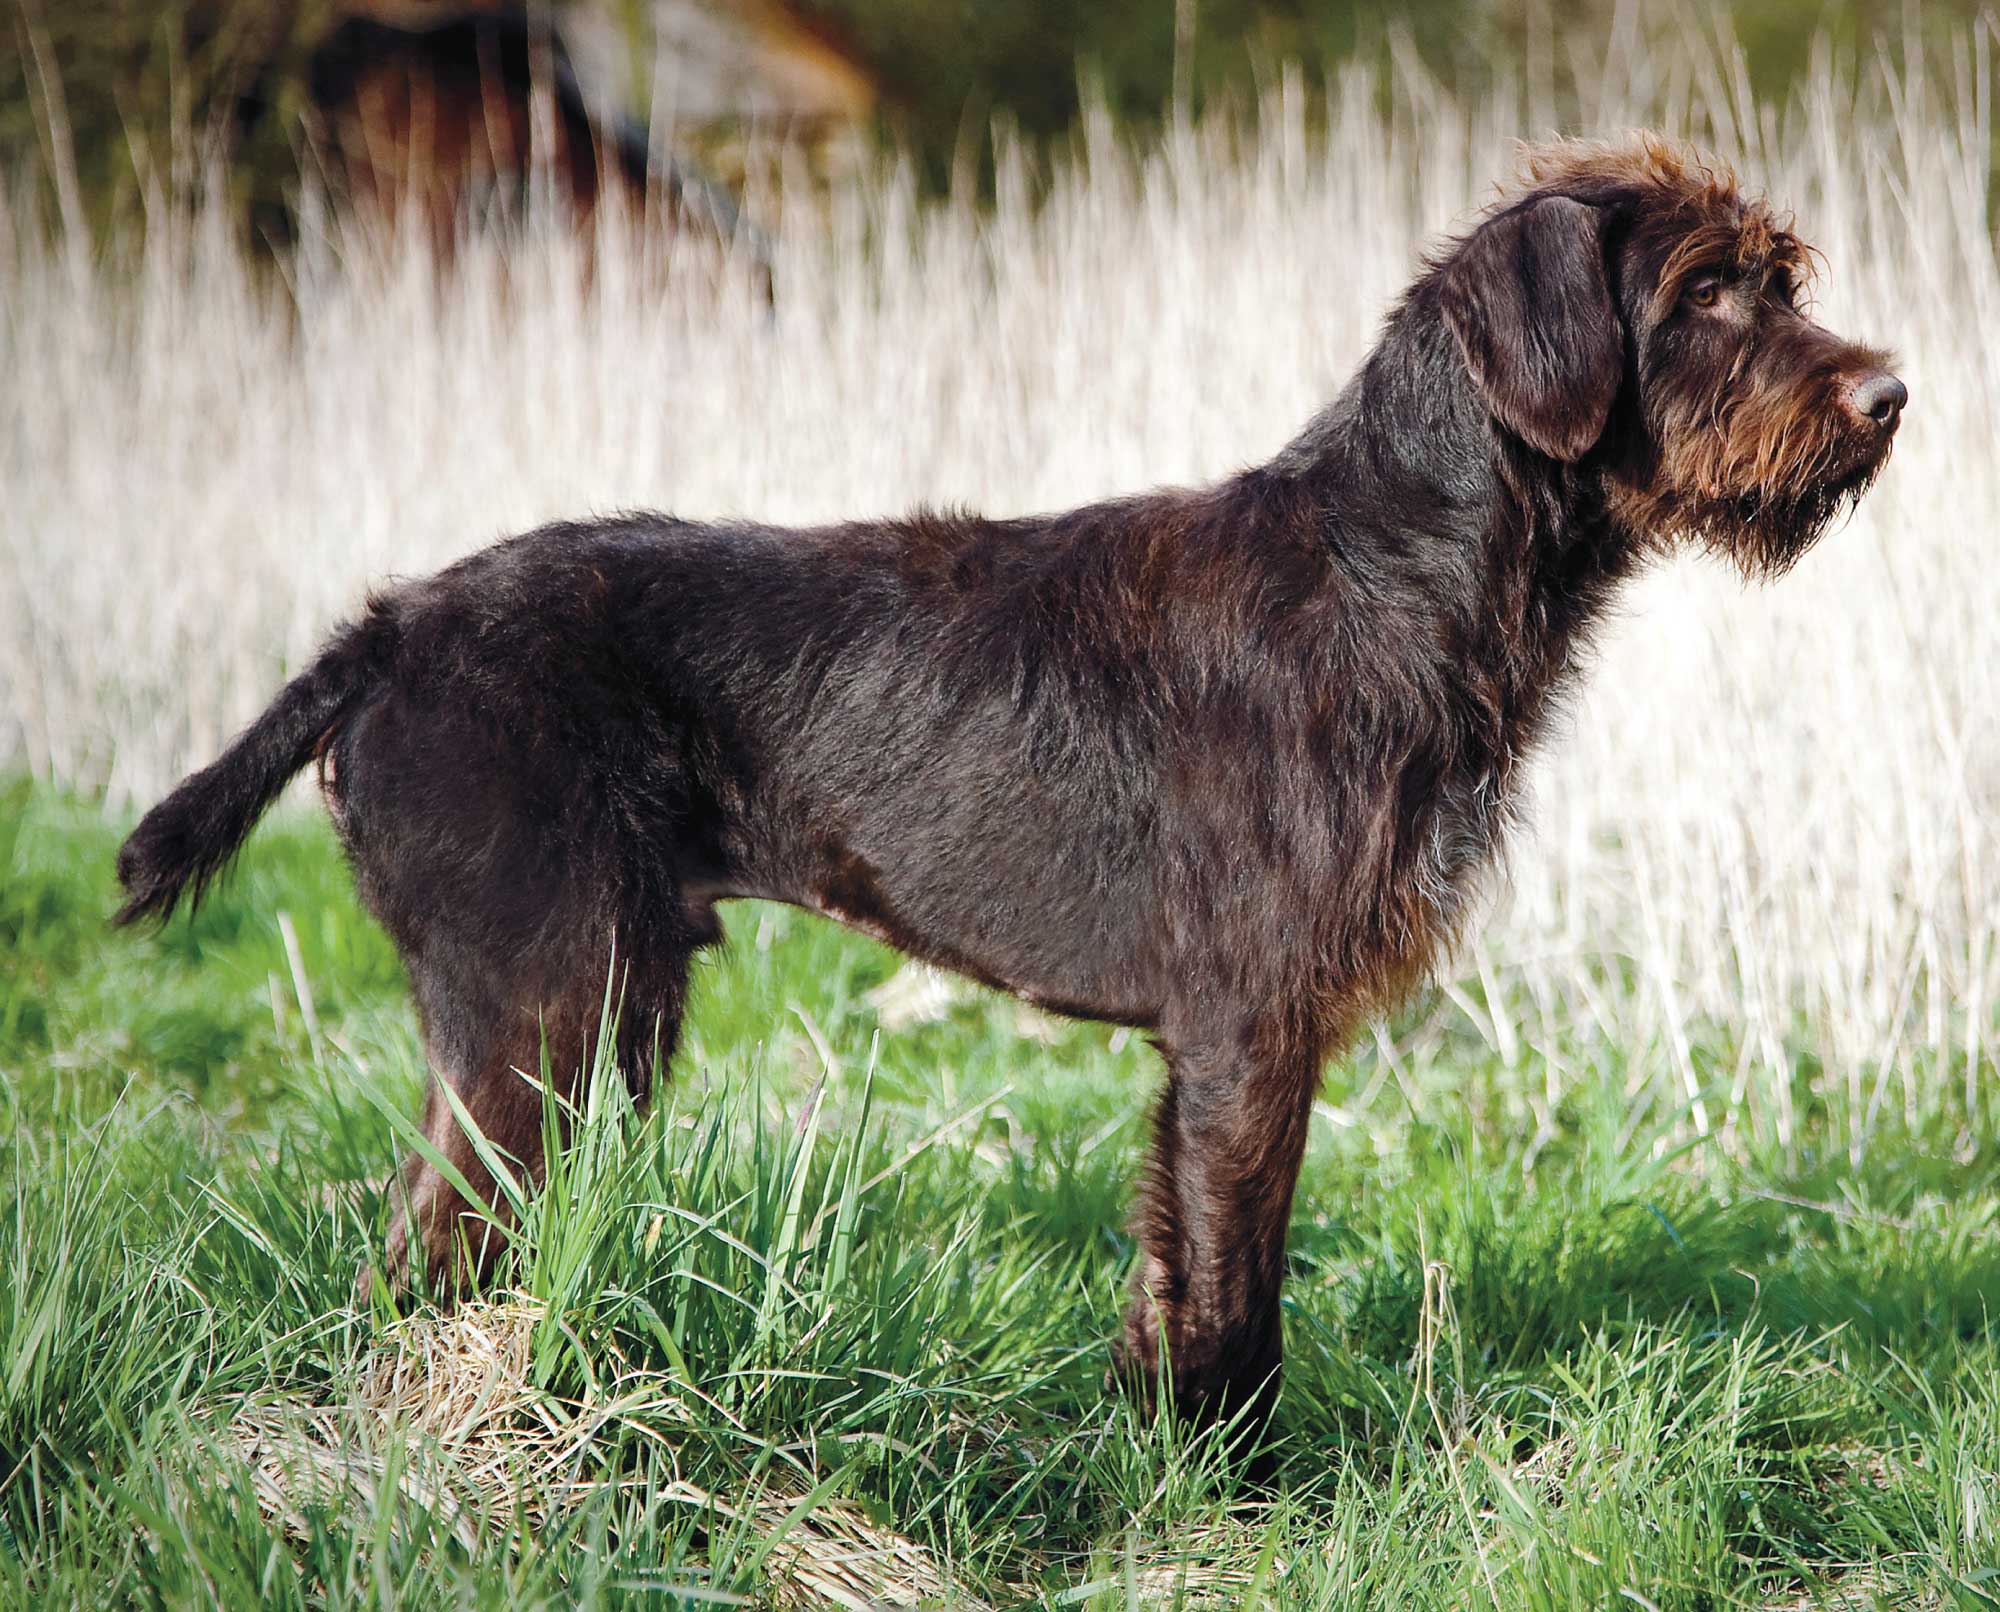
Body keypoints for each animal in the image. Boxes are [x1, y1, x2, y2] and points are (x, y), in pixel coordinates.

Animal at [117, 136, 1896, 1424]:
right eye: (1706, 290)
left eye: (1781, 274)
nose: (1891, 395)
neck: (1396, 570)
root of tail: (386, 632)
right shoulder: (1251, 1024)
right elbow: (1236, 1292)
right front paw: (1241, 1489)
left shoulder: (1224, 1043)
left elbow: (1187, 1269)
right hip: (538, 1015)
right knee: (422, 1252)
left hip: (589, 1012)